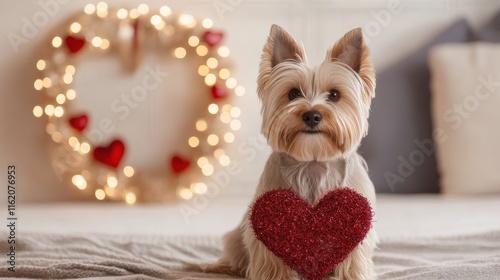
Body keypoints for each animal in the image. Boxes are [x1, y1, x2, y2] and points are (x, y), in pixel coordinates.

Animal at [202, 24, 376, 280]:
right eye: (293, 93)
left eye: (334, 95)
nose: (312, 115)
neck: (313, 163)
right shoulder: (266, 223)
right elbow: (274, 260)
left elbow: (352, 258)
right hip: (237, 234)